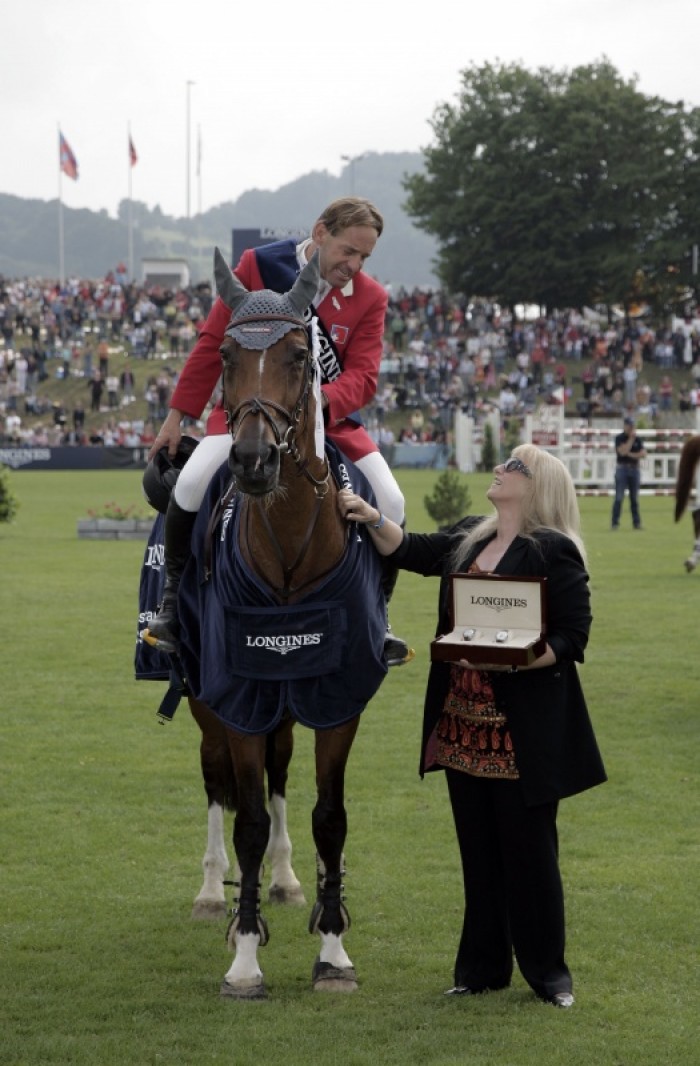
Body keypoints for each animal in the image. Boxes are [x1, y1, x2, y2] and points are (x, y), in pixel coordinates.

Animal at [169, 249, 387, 997]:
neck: (291, 542)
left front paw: (334, 948)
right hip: (208, 698)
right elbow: (250, 821)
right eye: (225, 355)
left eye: (299, 354)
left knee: (281, 774)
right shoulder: (239, 694)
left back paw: (289, 882)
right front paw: (244, 958)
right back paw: (214, 894)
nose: (253, 460)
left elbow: (328, 817)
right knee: (219, 784)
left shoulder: (337, 696)